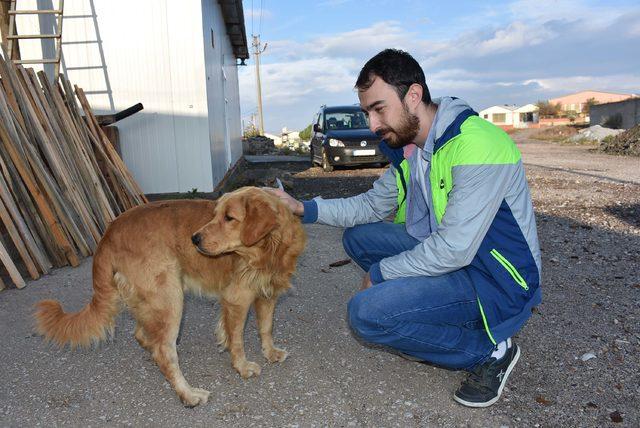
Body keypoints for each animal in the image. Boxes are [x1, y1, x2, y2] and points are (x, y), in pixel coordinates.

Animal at [33, 188, 308, 408]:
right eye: (215, 215)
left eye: (229, 218)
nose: (194, 238)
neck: (268, 249)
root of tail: (110, 231)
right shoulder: (237, 298)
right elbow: (237, 339)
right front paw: (241, 366)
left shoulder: (268, 293)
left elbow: (266, 327)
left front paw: (270, 352)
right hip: (170, 298)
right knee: (164, 352)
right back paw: (188, 394)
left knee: (144, 335)